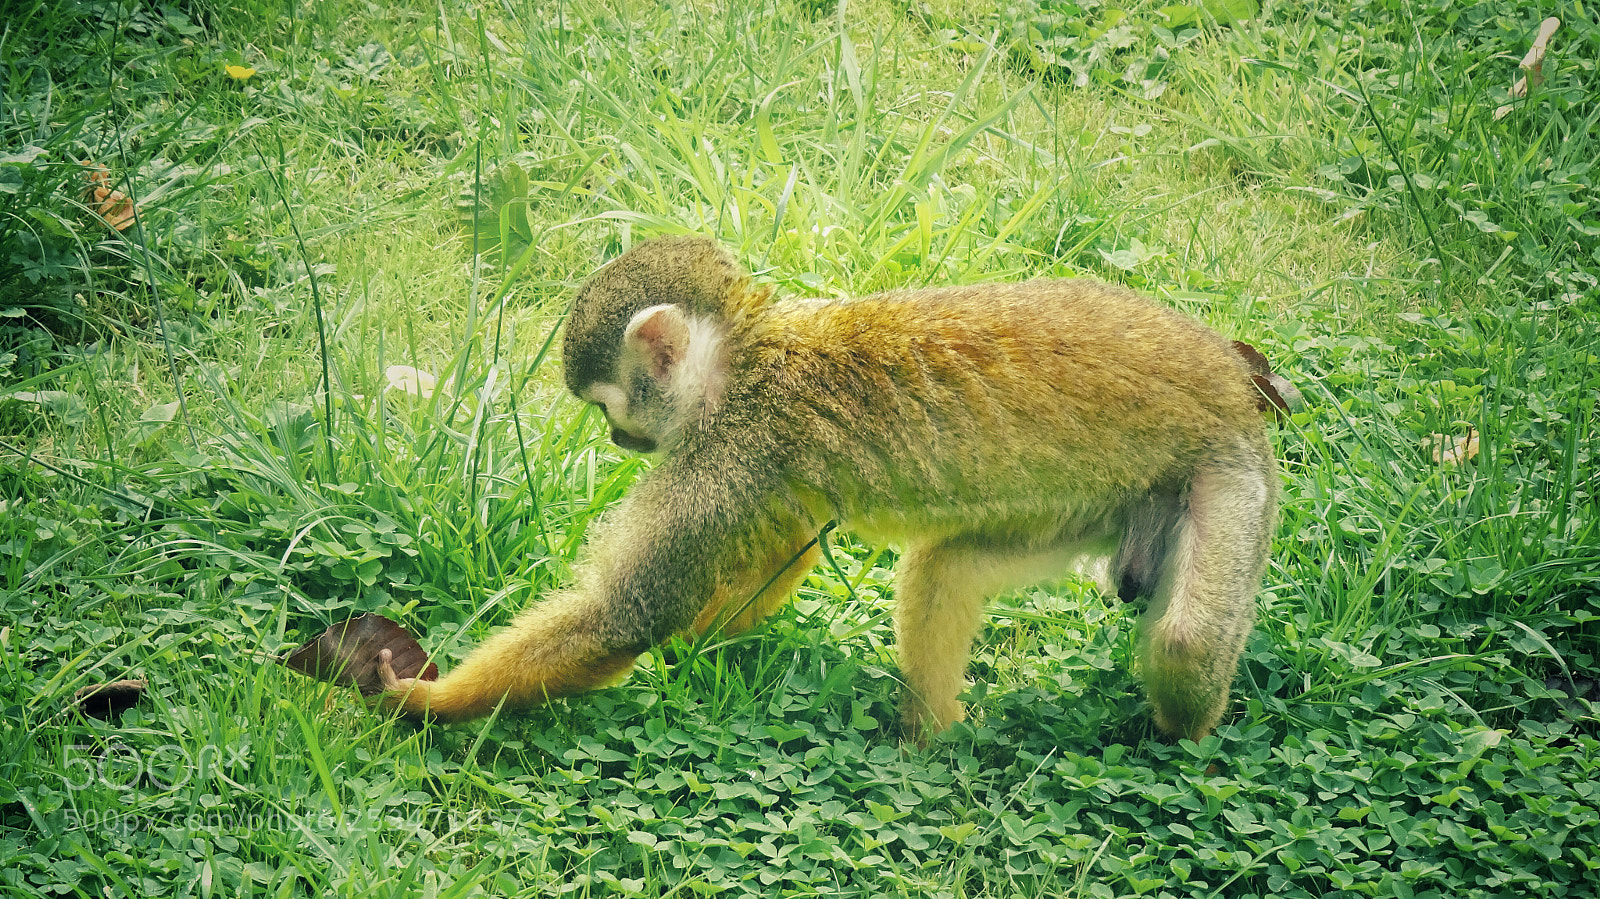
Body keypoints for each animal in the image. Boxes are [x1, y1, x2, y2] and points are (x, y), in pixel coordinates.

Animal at [377, 235, 1279, 744]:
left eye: (606, 406)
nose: (617, 440)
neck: (746, 358)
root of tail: (1237, 385)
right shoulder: (755, 468)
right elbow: (789, 543)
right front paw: (697, 650)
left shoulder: (735, 448)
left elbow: (620, 618)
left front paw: (425, 700)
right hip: (1094, 501)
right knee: (946, 570)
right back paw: (933, 743)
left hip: (1232, 476)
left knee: (1188, 642)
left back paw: (1177, 749)